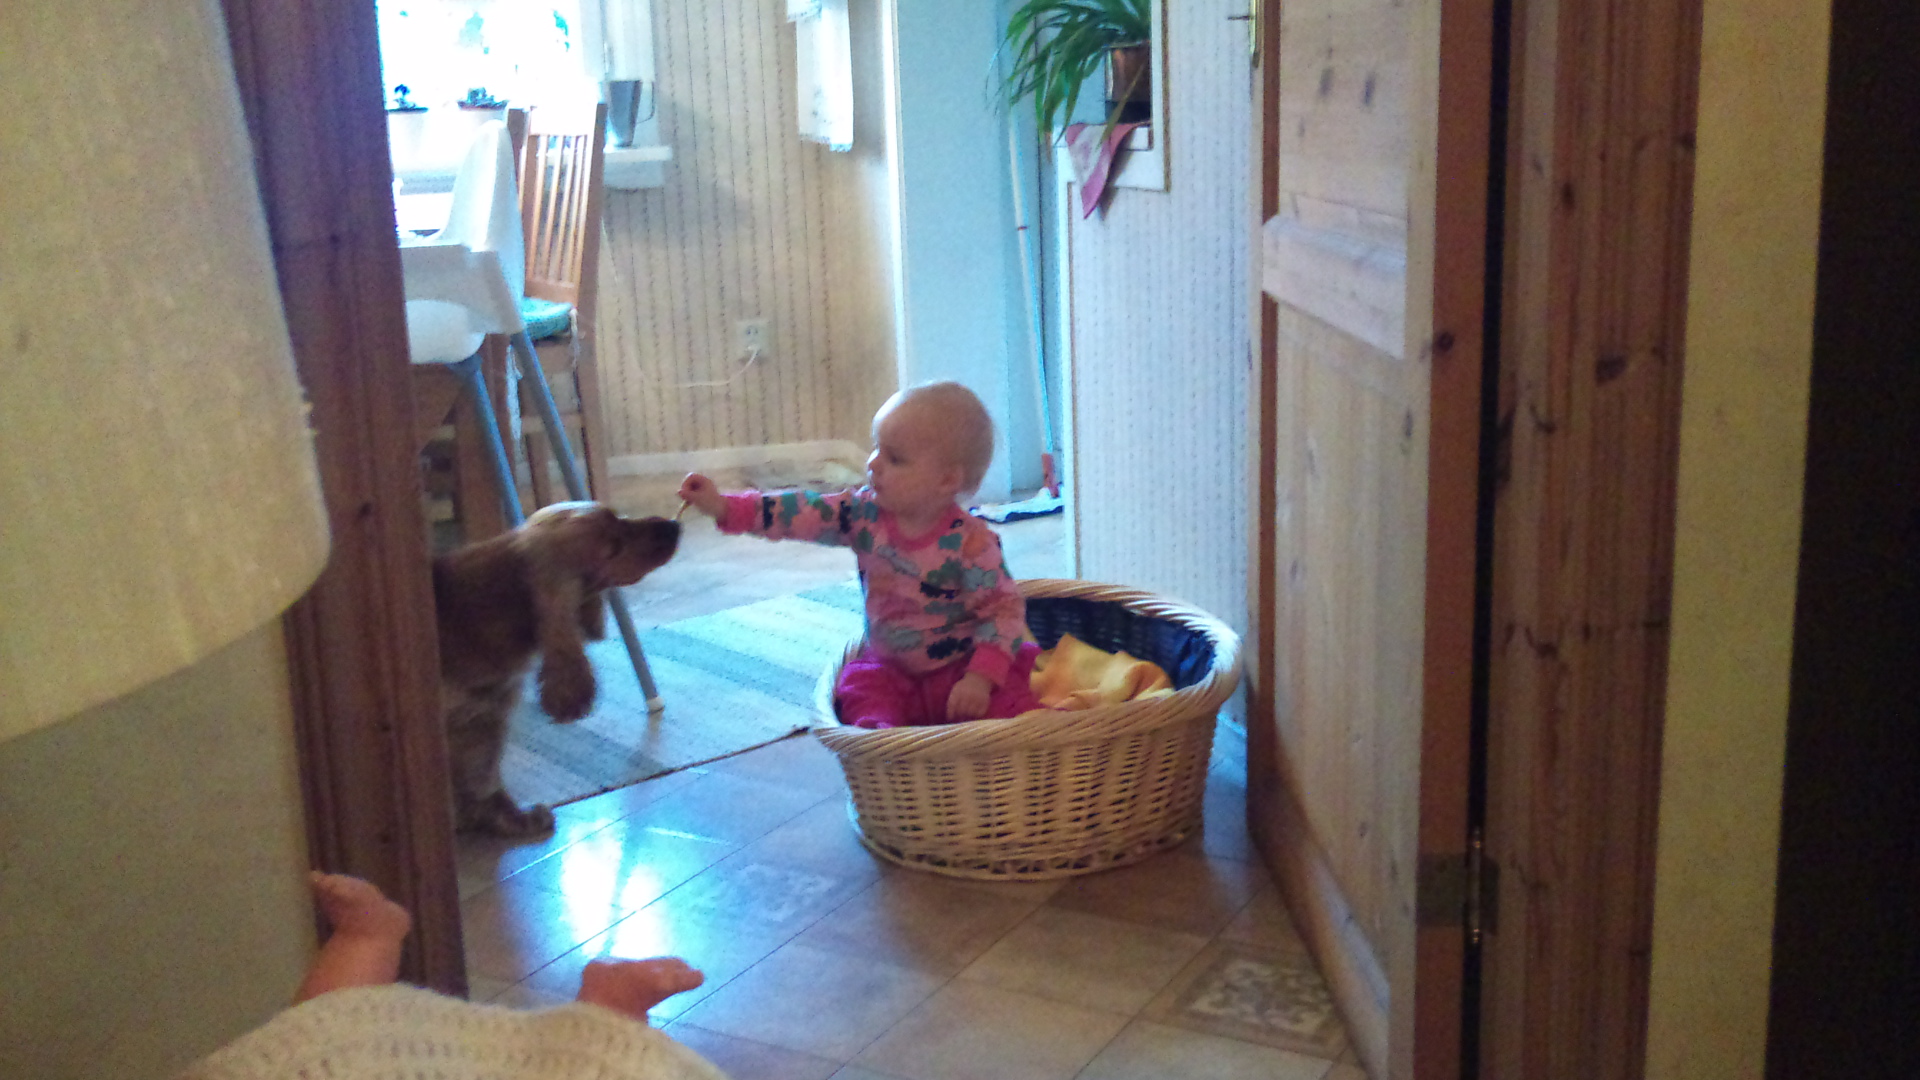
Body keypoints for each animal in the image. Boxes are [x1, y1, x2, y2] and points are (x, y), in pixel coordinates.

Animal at [433, 501, 680, 837]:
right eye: (612, 545)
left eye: (618, 517)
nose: (673, 526)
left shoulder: (485, 717)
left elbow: (485, 778)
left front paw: (507, 818)